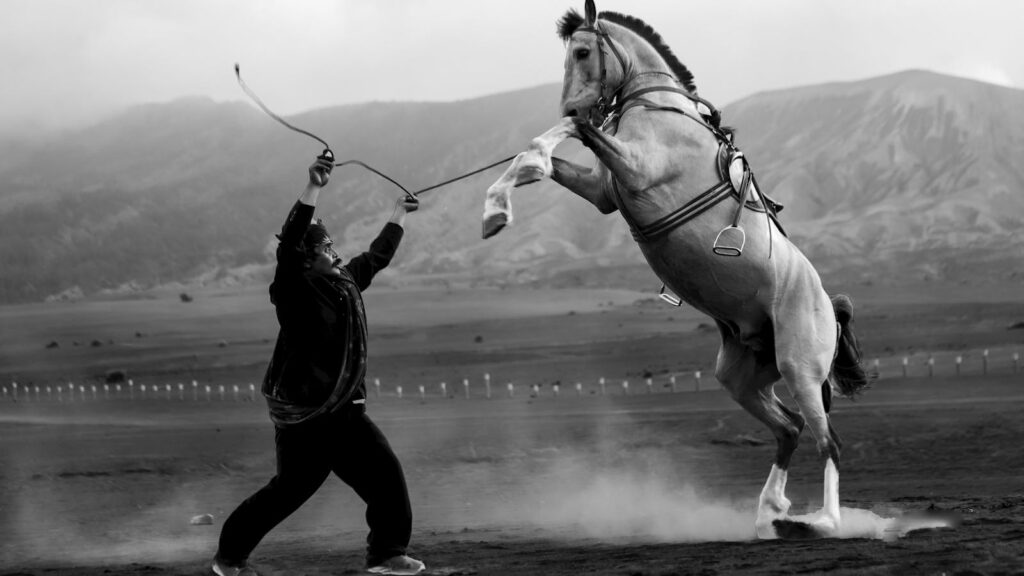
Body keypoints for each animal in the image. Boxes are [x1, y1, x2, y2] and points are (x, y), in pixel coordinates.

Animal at [482, 0, 871, 539]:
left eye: (582, 52)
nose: (573, 107)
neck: (656, 110)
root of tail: (829, 310)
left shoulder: (636, 168)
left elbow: (566, 138)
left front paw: (501, 201)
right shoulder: (605, 192)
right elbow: (543, 150)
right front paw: (496, 209)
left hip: (801, 368)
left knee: (827, 440)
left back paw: (822, 523)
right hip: (742, 377)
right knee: (790, 428)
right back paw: (768, 514)